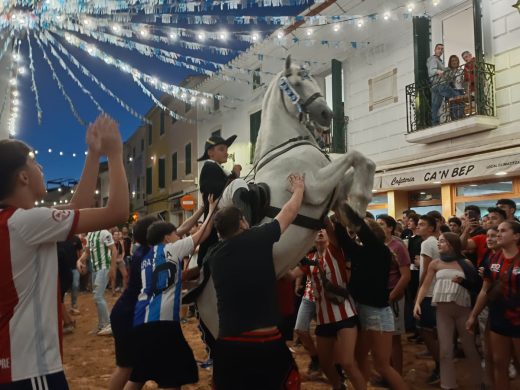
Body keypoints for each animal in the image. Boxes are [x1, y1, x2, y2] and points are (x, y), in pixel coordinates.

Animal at [195, 55, 374, 338]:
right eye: (297, 82)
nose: (327, 114)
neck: (287, 147)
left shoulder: (332, 188)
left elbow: (364, 161)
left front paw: (357, 208)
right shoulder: (315, 185)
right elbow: (354, 155)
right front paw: (360, 201)